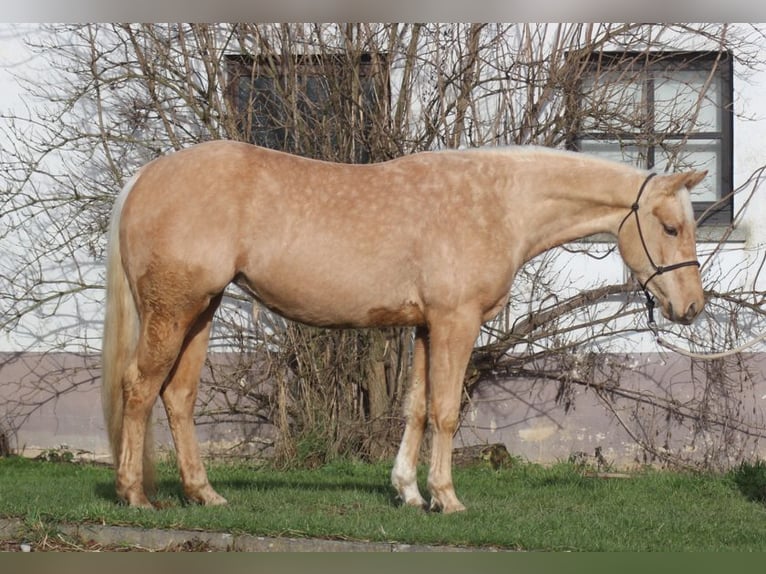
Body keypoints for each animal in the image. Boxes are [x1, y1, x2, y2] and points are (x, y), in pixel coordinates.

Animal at [101, 140, 706, 513]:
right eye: (670, 227)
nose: (693, 307)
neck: (498, 202)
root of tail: (144, 177)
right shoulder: (456, 321)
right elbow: (445, 410)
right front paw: (447, 497)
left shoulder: (425, 326)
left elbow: (415, 407)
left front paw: (410, 493)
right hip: (174, 310)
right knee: (139, 388)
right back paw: (135, 495)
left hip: (201, 310)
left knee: (177, 397)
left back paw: (204, 494)